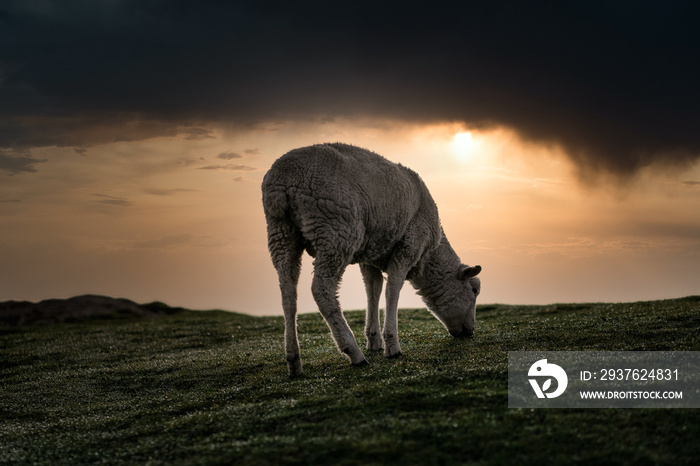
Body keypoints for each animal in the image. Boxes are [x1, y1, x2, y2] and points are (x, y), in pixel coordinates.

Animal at [262, 142, 482, 374]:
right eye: (474, 290)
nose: (470, 332)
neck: (430, 257)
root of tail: (285, 181)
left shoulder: (371, 255)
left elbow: (373, 289)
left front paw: (374, 340)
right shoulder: (409, 245)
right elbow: (392, 288)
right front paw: (391, 345)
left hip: (281, 233)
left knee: (288, 292)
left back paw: (294, 360)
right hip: (335, 231)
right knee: (321, 290)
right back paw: (353, 352)